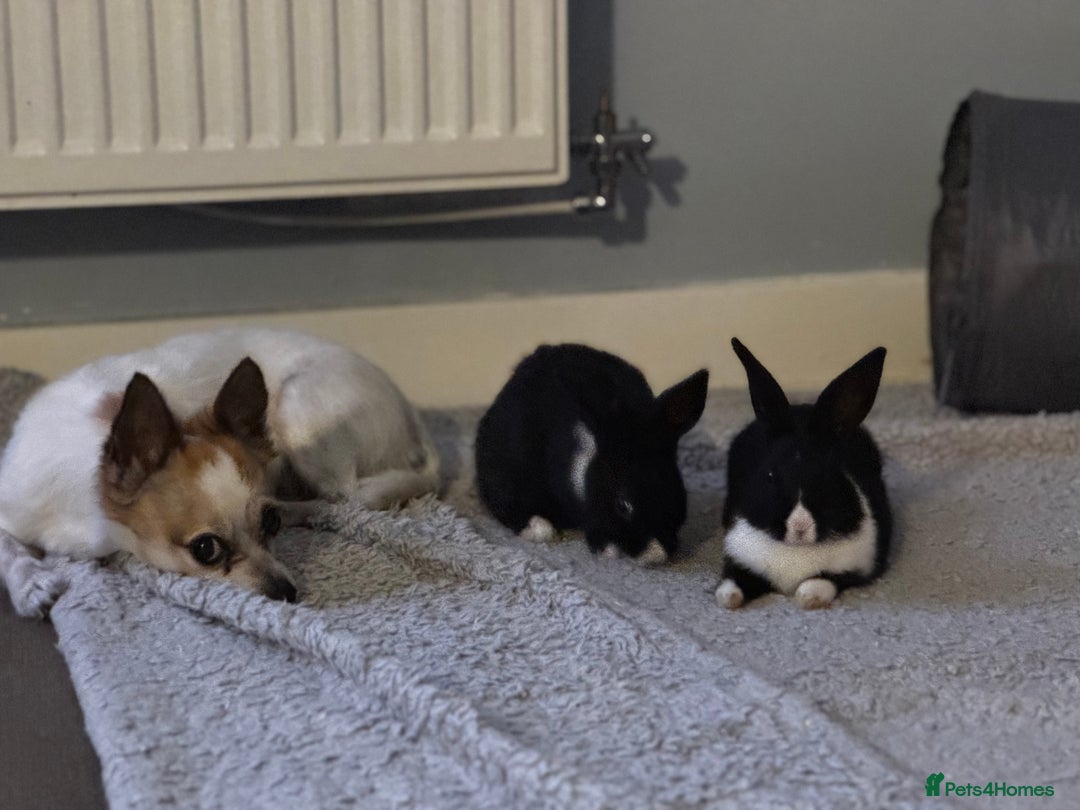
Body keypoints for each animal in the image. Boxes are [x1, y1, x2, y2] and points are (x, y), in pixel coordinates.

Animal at [715, 338, 892, 610]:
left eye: (829, 477)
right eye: (769, 475)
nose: (799, 526)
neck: (794, 550)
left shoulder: (852, 567)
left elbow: (824, 580)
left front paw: (808, 598)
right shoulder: (740, 559)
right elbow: (735, 579)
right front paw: (727, 599)